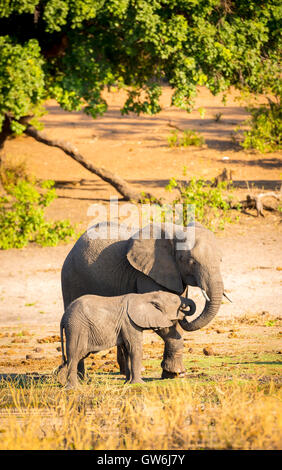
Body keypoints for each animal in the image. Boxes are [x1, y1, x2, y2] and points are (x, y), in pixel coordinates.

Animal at [57, 290, 194, 390]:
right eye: (175, 301)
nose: (184, 307)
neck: (145, 296)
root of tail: (63, 317)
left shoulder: (124, 325)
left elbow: (127, 350)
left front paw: (127, 383)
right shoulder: (129, 323)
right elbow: (134, 348)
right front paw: (139, 384)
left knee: (76, 356)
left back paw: (61, 381)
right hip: (77, 328)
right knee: (74, 355)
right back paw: (73, 388)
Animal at [61, 220, 225, 378]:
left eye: (220, 260)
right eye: (190, 261)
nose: (185, 312)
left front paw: (174, 374)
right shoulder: (147, 274)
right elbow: (163, 320)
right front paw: (176, 373)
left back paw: (123, 373)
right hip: (71, 278)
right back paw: (82, 378)